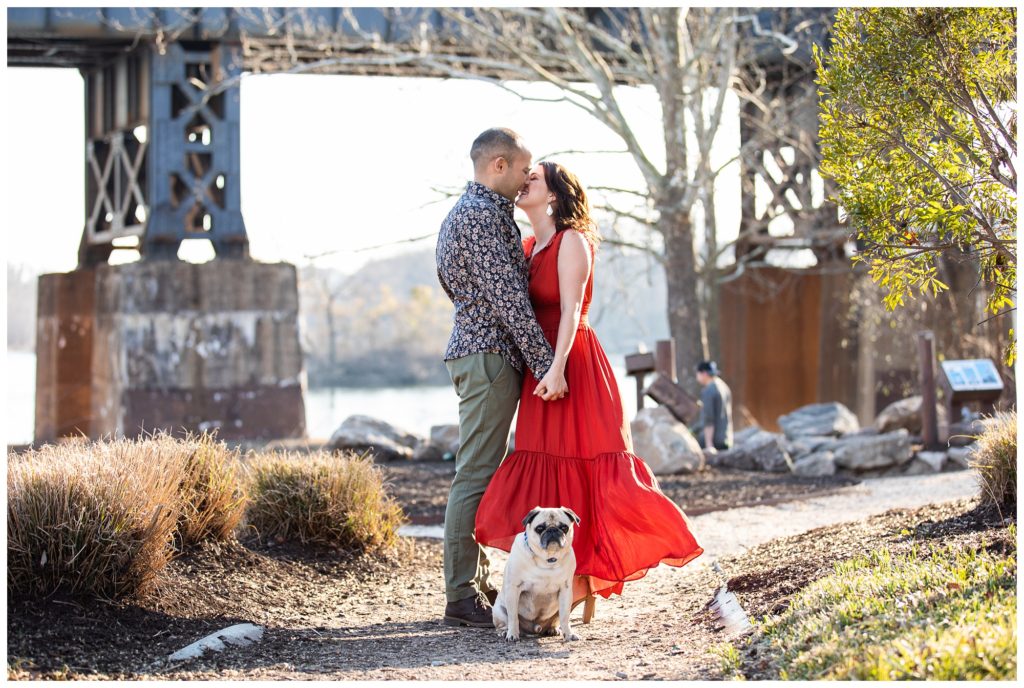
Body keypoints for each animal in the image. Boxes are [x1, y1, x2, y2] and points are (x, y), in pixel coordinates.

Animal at [491, 505, 581, 647]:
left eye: (564, 527)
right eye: (540, 528)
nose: (552, 530)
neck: (547, 559)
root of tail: (535, 629)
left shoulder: (565, 590)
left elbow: (565, 617)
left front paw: (569, 634)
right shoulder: (513, 589)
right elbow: (513, 617)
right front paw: (512, 634)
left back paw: (553, 629)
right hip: (498, 610)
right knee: (504, 623)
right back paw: (505, 632)